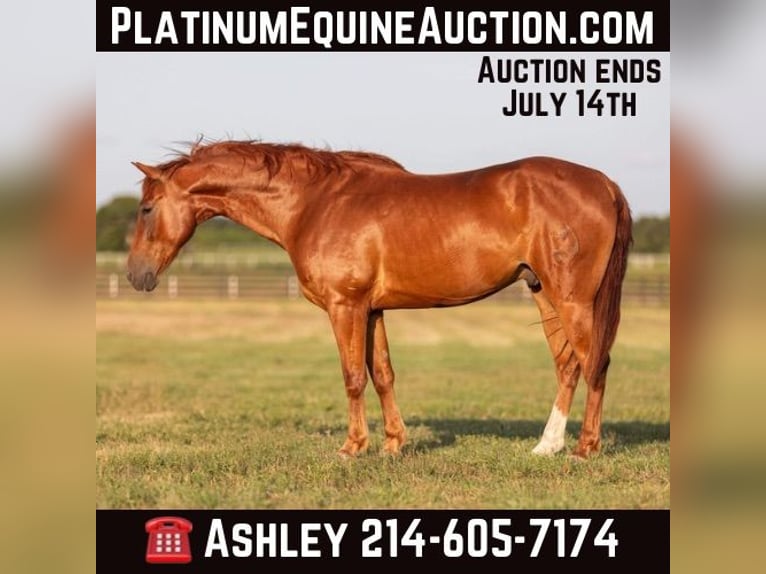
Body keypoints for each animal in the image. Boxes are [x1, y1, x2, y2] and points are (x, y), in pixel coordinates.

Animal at [126, 140, 632, 459]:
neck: (315, 203)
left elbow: (353, 376)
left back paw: (585, 449)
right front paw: (393, 444)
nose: (136, 275)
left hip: (572, 298)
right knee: (568, 365)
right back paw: (547, 446)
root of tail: (604, 183)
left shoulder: (345, 307)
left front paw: (353, 447)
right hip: (544, 293)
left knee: (596, 362)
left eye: (147, 208)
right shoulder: (372, 310)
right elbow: (383, 374)